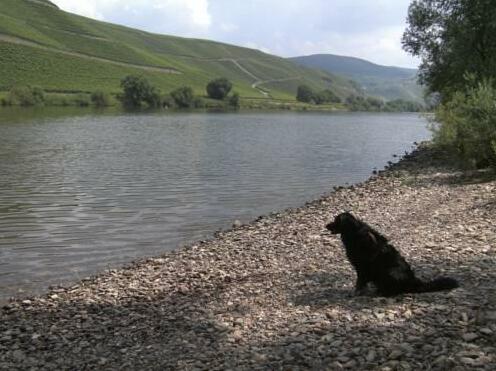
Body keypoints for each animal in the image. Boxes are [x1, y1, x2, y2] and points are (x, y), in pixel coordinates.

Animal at [326, 212, 458, 296]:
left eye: (336, 220)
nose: (325, 225)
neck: (353, 232)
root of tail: (414, 282)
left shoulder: (362, 267)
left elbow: (360, 283)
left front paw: (356, 293)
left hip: (391, 272)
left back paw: (381, 292)